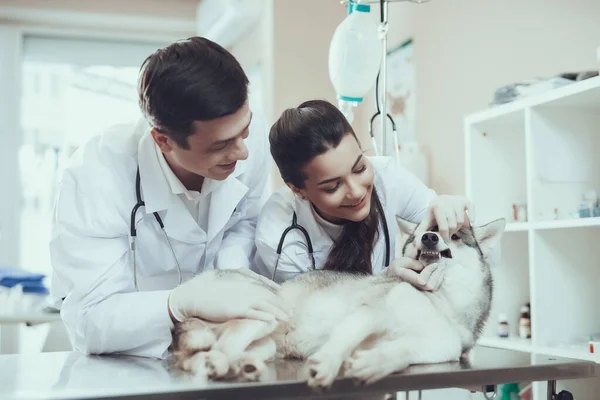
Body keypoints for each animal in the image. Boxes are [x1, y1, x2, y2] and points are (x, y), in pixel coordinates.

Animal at [170, 217, 506, 390]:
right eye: (425, 230)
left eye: (455, 235)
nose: (429, 237)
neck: (442, 300)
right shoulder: (370, 312)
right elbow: (344, 339)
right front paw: (329, 362)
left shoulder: (435, 348)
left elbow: (401, 352)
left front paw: (375, 362)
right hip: (266, 312)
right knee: (216, 346)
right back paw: (221, 363)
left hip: (267, 344)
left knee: (196, 357)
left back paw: (239, 365)